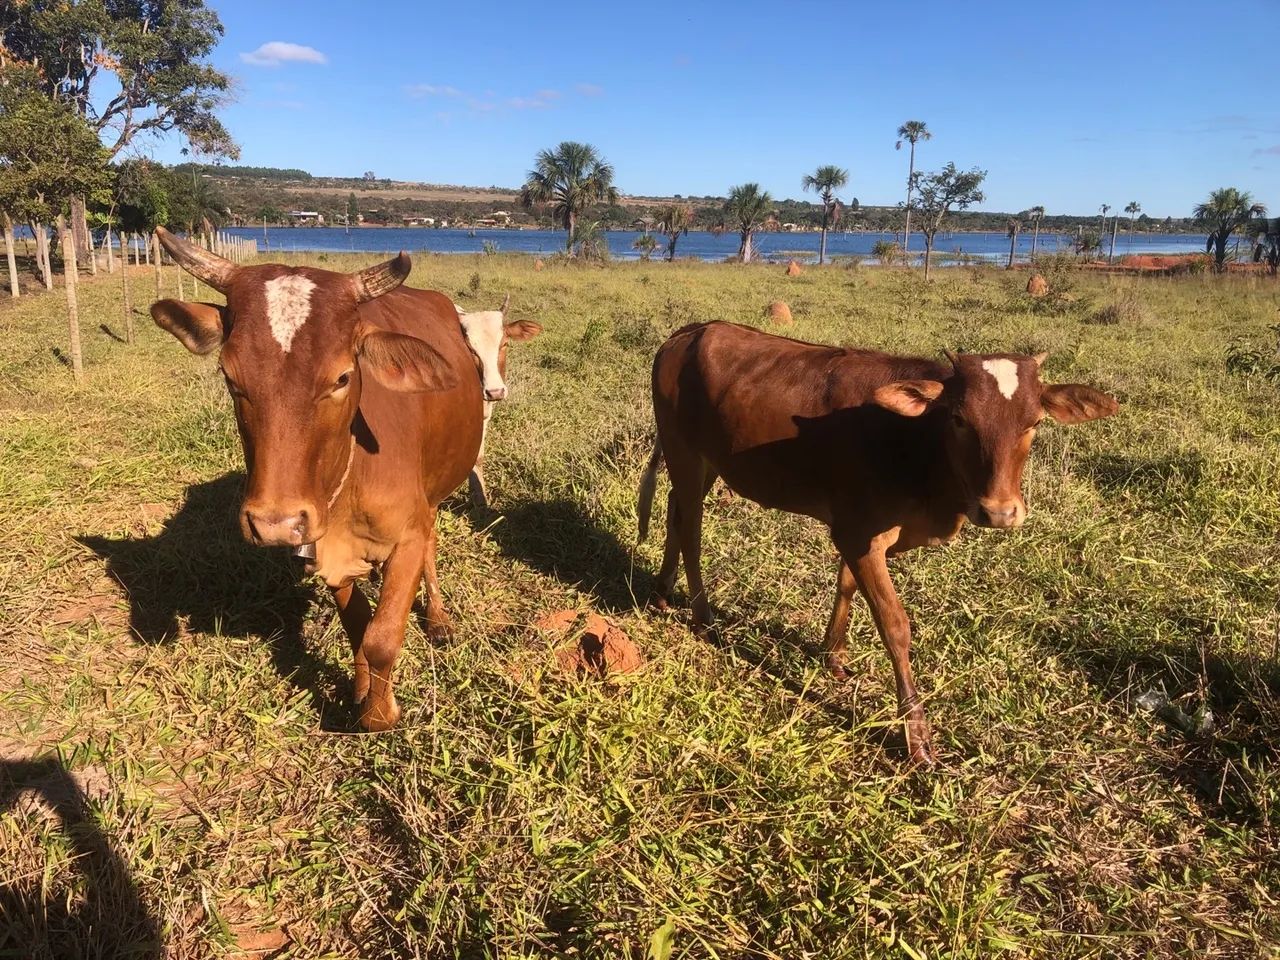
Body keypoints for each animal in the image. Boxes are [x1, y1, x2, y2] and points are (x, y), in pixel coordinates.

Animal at [148, 229, 483, 732]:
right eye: (230, 375)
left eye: (343, 376)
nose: (275, 524)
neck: (349, 481)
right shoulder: (325, 546)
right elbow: (359, 625)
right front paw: (362, 689)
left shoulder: (407, 534)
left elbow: (383, 634)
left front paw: (380, 713)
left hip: (437, 495)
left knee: (432, 544)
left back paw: (439, 618)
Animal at [458, 295, 542, 506]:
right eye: (471, 350)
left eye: (504, 344)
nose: (495, 392)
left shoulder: (484, 416)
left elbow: (477, 458)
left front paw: (479, 498)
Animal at [640, 321, 1121, 768]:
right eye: (959, 419)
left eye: (1034, 422)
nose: (999, 512)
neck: (915, 446)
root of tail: (694, 330)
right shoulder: (859, 533)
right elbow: (895, 626)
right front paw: (916, 735)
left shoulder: (859, 534)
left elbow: (846, 586)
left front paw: (833, 656)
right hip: (685, 452)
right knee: (691, 528)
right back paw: (703, 617)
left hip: (705, 462)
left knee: (675, 509)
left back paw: (663, 591)